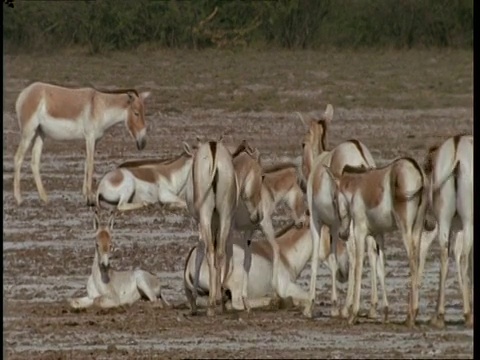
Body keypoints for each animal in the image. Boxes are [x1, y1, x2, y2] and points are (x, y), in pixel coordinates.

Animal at [13, 81, 151, 205]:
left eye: (144, 112)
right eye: (136, 113)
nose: (143, 142)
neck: (100, 105)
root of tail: (24, 94)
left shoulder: (94, 140)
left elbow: (86, 163)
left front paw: (86, 196)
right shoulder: (90, 137)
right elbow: (90, 164)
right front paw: (90, 198)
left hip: (39, 134)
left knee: (34, 162)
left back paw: (44, 198)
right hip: (28, 133)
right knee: (18, 158)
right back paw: (19, 199)